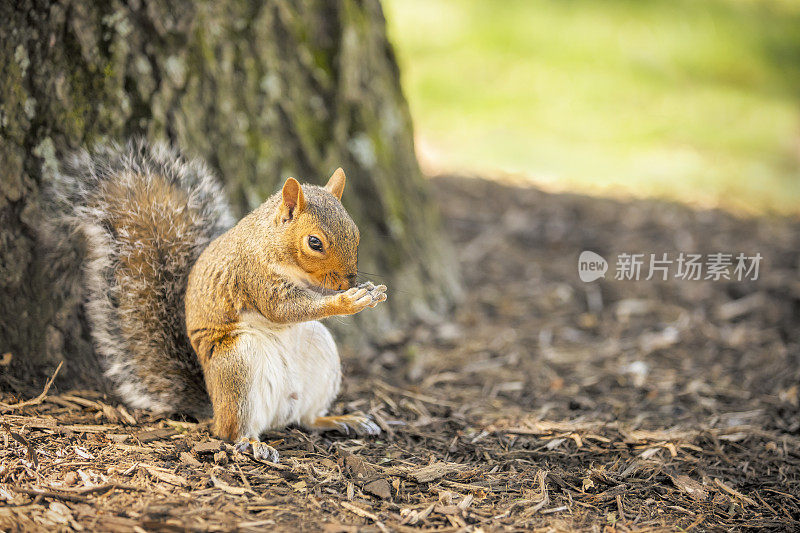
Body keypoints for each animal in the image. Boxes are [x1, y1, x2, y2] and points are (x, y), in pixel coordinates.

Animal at [49, 139, 388, 460]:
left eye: (356, 233)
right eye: (314, 242)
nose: (348, 281)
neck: (273, 243)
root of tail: (214, 406)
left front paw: (369, 291)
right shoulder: (254, 275)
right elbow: (282, 309)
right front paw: (347, 301)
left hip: (320, 354)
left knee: (306, 418)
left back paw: (340, 419)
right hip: (237, 363)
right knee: (230, 431)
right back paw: (252, 443)